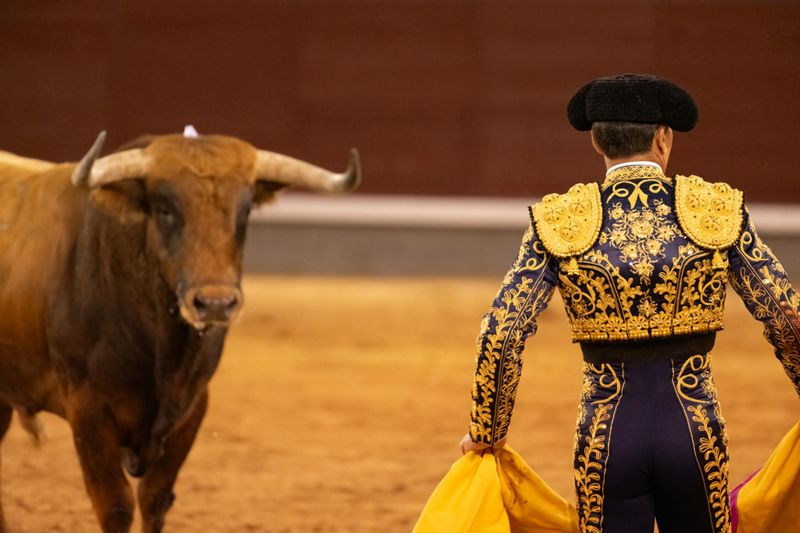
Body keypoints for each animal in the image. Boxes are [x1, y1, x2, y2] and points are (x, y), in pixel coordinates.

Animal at [0, 131, 360, 532]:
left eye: (245, 211)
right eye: (165, 210)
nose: (215, 303)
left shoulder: (193, 406)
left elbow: (155, 499)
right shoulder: (87, 406)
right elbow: (116, 505)